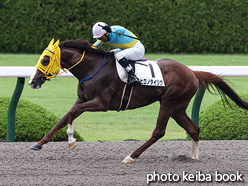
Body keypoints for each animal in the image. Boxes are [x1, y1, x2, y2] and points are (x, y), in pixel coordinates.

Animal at [28, 38, 248, 163]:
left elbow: (72, 114)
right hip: (178, 108)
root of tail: (192, 72)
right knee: (194, 129)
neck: (92, 69)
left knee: (159, 132)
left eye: (45, 60)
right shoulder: (83, 99)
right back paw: (193, 157)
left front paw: (71, 140)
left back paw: (131, 156)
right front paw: (39, 143)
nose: (32, 81)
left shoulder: (102, 104)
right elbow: (65, 117)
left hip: (169, 103)